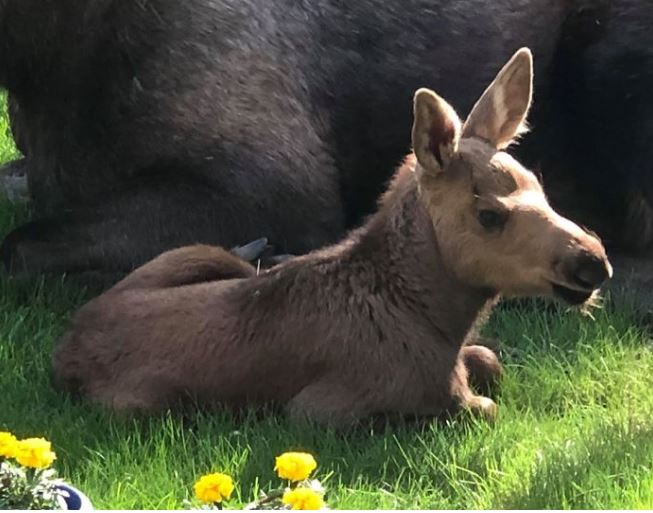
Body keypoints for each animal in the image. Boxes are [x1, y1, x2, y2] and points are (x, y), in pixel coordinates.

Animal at [51, 49, 612, 424]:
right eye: (488, 214)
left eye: (540, 186)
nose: (593, 260)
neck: (438, 321)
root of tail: (68, 344)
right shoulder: (320, 412)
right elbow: (484, 405)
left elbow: (491, 359)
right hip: (144, 403)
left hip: (190, 255)